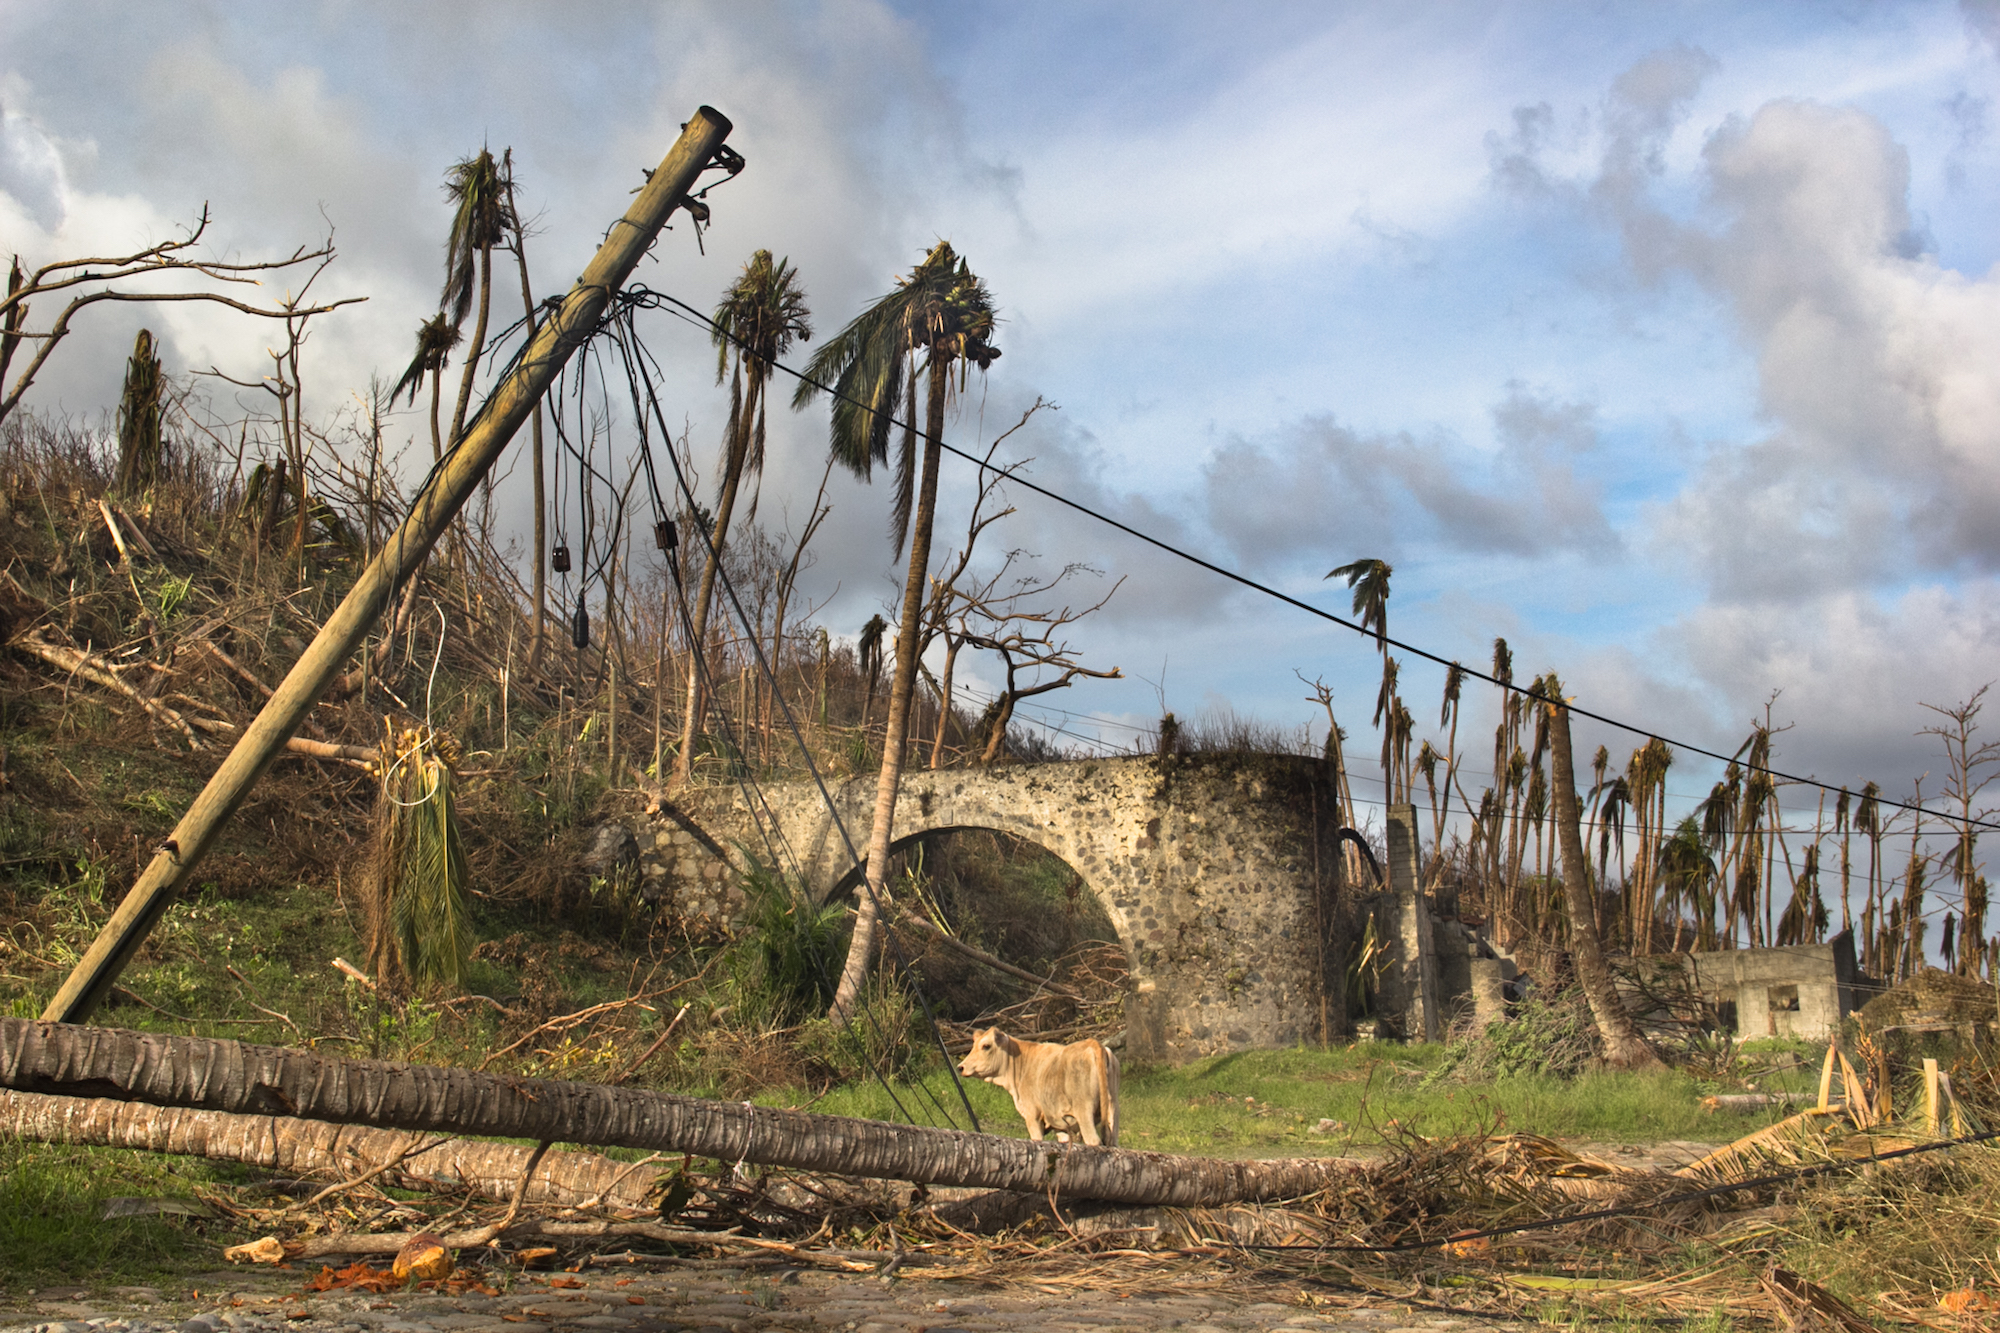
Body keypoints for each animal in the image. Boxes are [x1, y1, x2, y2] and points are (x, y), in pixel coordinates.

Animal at [948, 1024, 1112, 1144]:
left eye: (986, 1046)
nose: (960, 1067)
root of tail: (1091, 1043)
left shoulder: (1032, 1115)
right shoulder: (1058, 1124)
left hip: (1084, 1111)